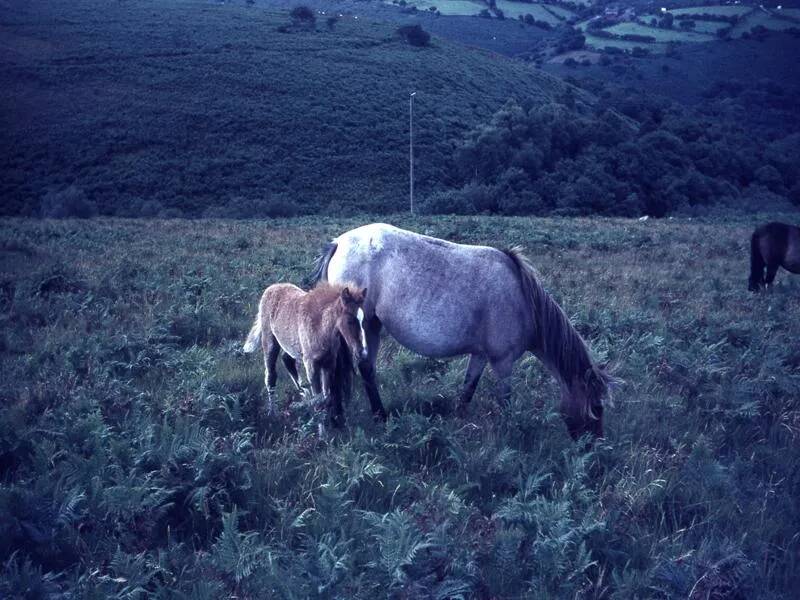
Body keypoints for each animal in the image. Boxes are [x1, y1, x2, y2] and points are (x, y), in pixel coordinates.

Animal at [244, 282, 368, 426]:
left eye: (363, 320)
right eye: (350, 321)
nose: (363, 352)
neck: (321, 326)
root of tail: (272, 287)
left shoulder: (328, 364)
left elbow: (326, 398)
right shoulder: (311, 366)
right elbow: (319, 402)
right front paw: (323, 430)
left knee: (287, 359)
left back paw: (304, 393)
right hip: (269, 341)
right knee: (270, 376)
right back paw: (272, 413)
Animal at [310, 223, 612, 438]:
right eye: (596, 408)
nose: (594, 447)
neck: (523, 300)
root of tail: (338, 243)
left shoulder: (479, 355)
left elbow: (467, 390)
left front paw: (459, 423)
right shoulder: (503, 362)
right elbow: (505, 399)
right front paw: (511, 432)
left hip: (372, 325)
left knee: (366, 369)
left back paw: (374, 416)